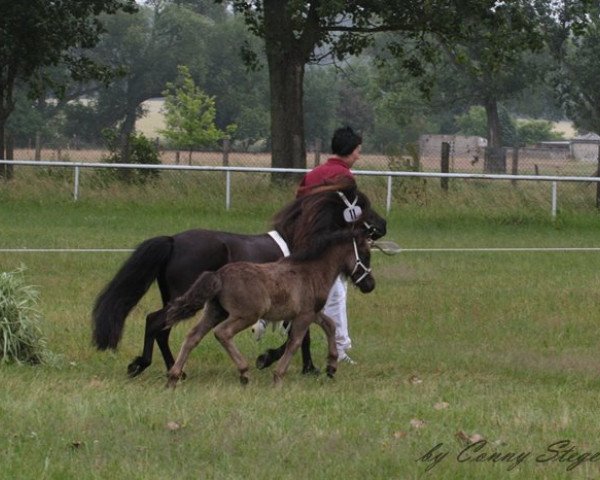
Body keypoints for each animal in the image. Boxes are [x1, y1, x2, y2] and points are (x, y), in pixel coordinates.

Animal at [91, 178, 386, 376]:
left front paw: (302, 365)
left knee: (161, 328)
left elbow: (302, 335)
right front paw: (275, 360)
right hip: (186, 297)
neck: (301, 244)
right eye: (363, 206)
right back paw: (144, 365)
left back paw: (174, 369)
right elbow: (300, 336)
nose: (383, 226)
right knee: (155, 322)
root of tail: (173, 240)